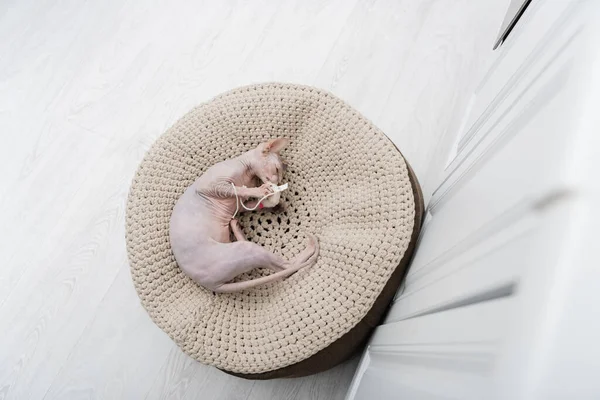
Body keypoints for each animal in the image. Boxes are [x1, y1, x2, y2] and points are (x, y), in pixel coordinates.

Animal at [169, 138, 318, 294]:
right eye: (277, 169)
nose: (276, 183)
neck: (248, 173)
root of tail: (211, 284)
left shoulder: (239, 205)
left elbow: (255, 203)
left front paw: (276, 205)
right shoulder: (212, 186)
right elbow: (239, 189)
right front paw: (261, 190)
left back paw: (236, 226)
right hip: (242, 251)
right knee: (286, 267)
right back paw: (311, 246)